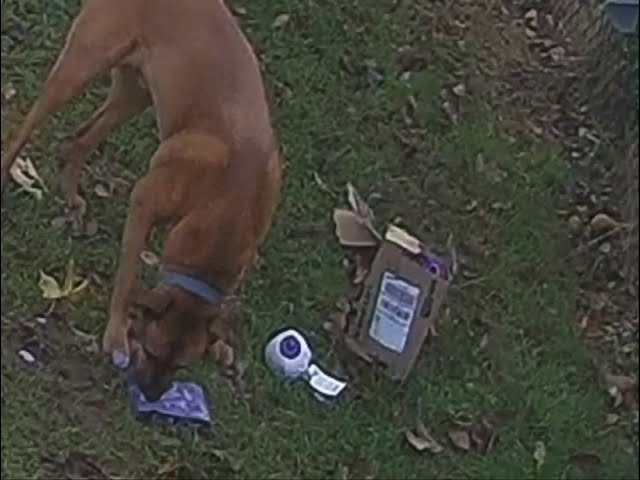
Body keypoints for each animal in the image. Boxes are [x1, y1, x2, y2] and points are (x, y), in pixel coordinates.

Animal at [0, 0, 282, 400]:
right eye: (151, 351)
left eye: (181, 365)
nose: (150, 396)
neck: (229, 211)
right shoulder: (144, 203)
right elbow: (127, 278)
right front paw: (116, 334)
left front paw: (221, 345)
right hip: (79, 68)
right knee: (28, 126)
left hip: (134, 93)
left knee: (80, 139)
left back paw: (71, 198)